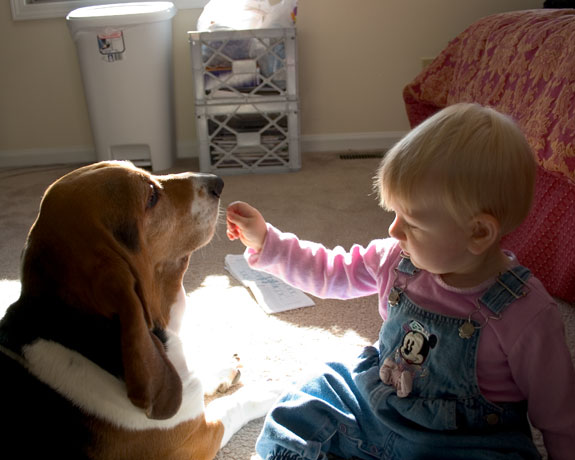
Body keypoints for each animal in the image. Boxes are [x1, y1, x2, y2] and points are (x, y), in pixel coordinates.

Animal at [0, 160, 280, 458]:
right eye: (151, 196)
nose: (218, 182)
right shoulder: (194, 438)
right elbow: (233, 405)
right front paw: (269, 391)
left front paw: (223, 367)